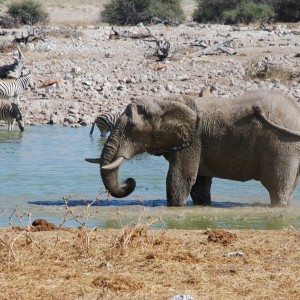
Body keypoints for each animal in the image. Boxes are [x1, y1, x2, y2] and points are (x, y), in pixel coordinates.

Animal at [85, 89, 300, 206]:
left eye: (133, 129)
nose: (129, 181)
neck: (167, 101)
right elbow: (199, 186)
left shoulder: (193, 141)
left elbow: (180, 179)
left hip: (281, 145)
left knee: (278, 188)